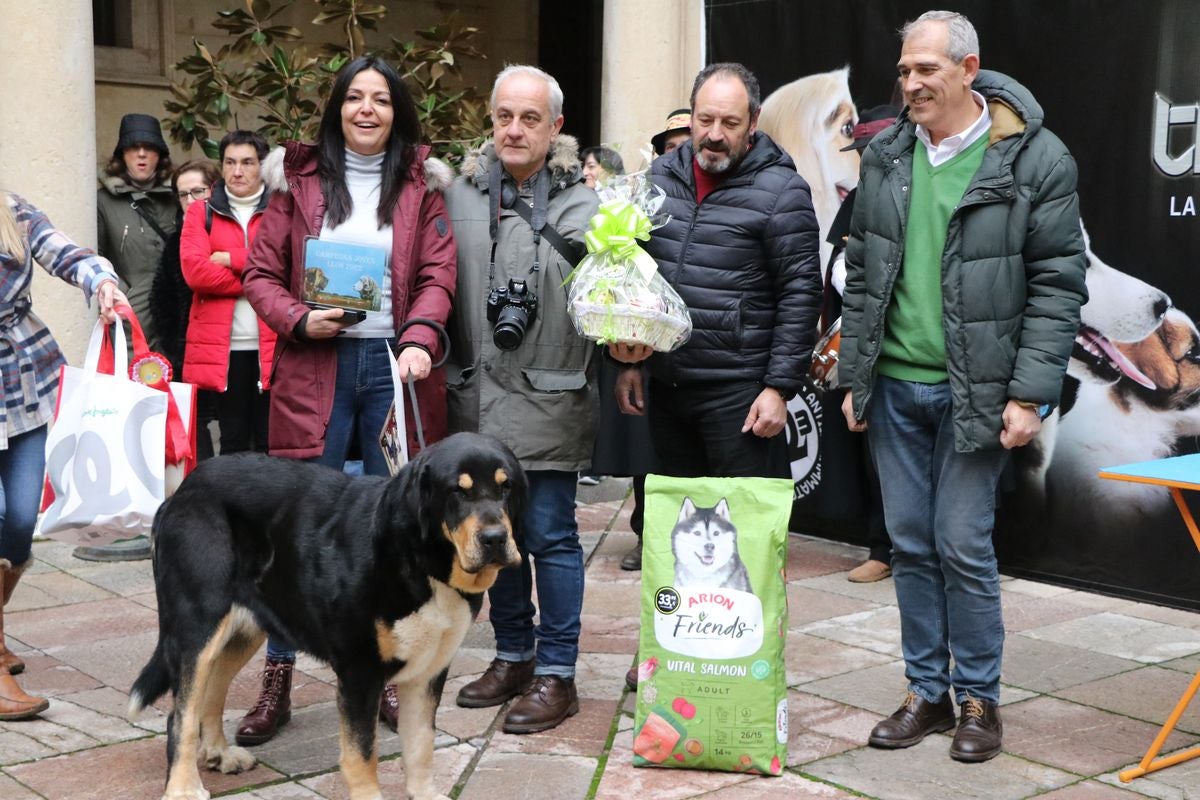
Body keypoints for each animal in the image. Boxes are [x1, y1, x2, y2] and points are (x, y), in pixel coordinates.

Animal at [130, 434, 525, 796]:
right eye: (459, 492)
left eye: (506, 488)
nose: (494, 538)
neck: (421, 559)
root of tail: (182, 490)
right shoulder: (360, 671)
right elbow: (362, 756)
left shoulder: (428, 670)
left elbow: (420, 744)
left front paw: (424, 793)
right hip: (198, 626)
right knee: (181, 713)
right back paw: (183, 787)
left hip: (244, 628)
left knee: (213, 687)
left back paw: (219, 753)